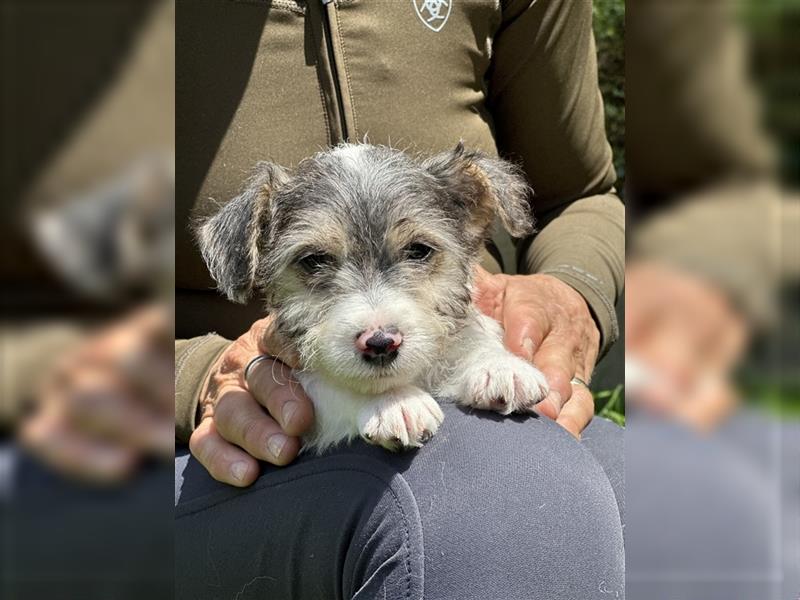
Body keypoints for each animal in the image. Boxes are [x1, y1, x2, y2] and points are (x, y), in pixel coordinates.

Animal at [198, 143, 552, 450]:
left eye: (418, 250)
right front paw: (394, 401)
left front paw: (500, 367)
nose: (381, 342)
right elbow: (329, 385)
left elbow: (474, 337)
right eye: (315, 259)